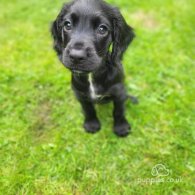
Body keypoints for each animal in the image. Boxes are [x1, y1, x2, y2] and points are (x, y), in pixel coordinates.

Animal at [51, 0, 135, 136]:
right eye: (67, 25)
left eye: (102, 29)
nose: (76, 56)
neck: (91, 76)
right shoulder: (80, 94)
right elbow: (88, 109)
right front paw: (91, 124)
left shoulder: (119, 92)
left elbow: (119, 110)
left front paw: (121, 127)